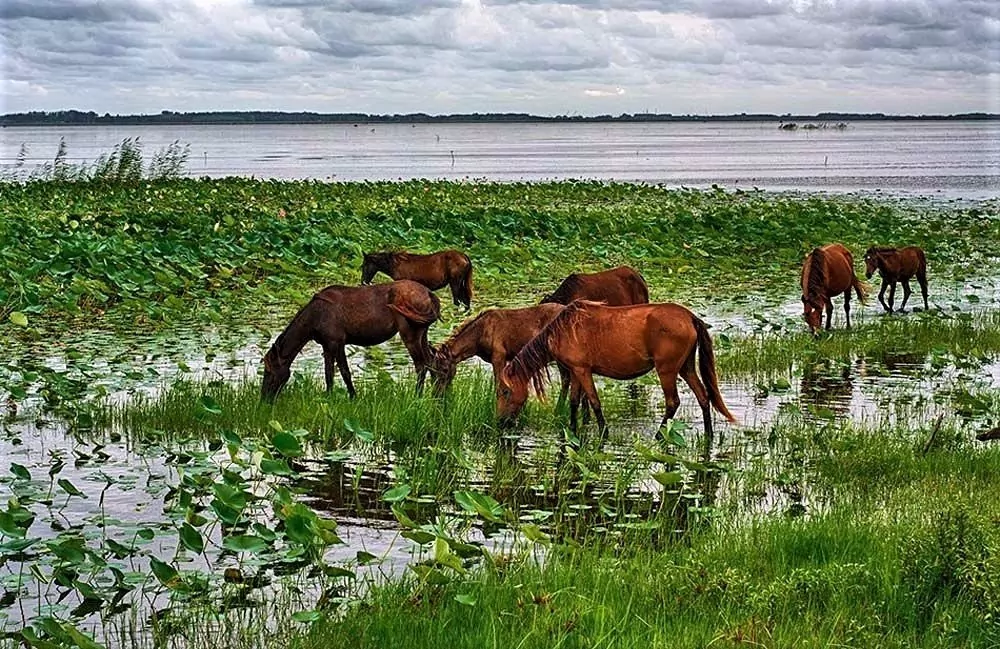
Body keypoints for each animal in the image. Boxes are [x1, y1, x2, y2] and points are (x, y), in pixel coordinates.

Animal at [264, 282, 440, 402]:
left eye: (268, 370)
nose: (264, 398)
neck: (311, 323)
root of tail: (430, 295)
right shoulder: (329, 345)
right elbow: (333, 373)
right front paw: (337, 396)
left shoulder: (335, 341)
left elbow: (340, 373)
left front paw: (348, 396)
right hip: (422, 333)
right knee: (431, 360)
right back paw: (435, 393)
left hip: (409, 332)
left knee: (421, 364)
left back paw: (417, 396)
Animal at [432, 302, 572, 398]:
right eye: (433, 371)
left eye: (444, 369)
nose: (437, 393)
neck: (478, 337)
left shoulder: (499, 356)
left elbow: (499, 387)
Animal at [498, 302, 736, 438]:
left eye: (505, 391)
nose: (501, 422)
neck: (562, 330)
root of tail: (690, 317)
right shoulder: (575, 371)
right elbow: (574, 402)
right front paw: (571, 429)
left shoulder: (582, 370)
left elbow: (594, 401)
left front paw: (603, 432)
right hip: (685, 368)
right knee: (703, 396)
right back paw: (709, 435)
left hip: (667, 370)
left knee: (673, 402)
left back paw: (659, 436)